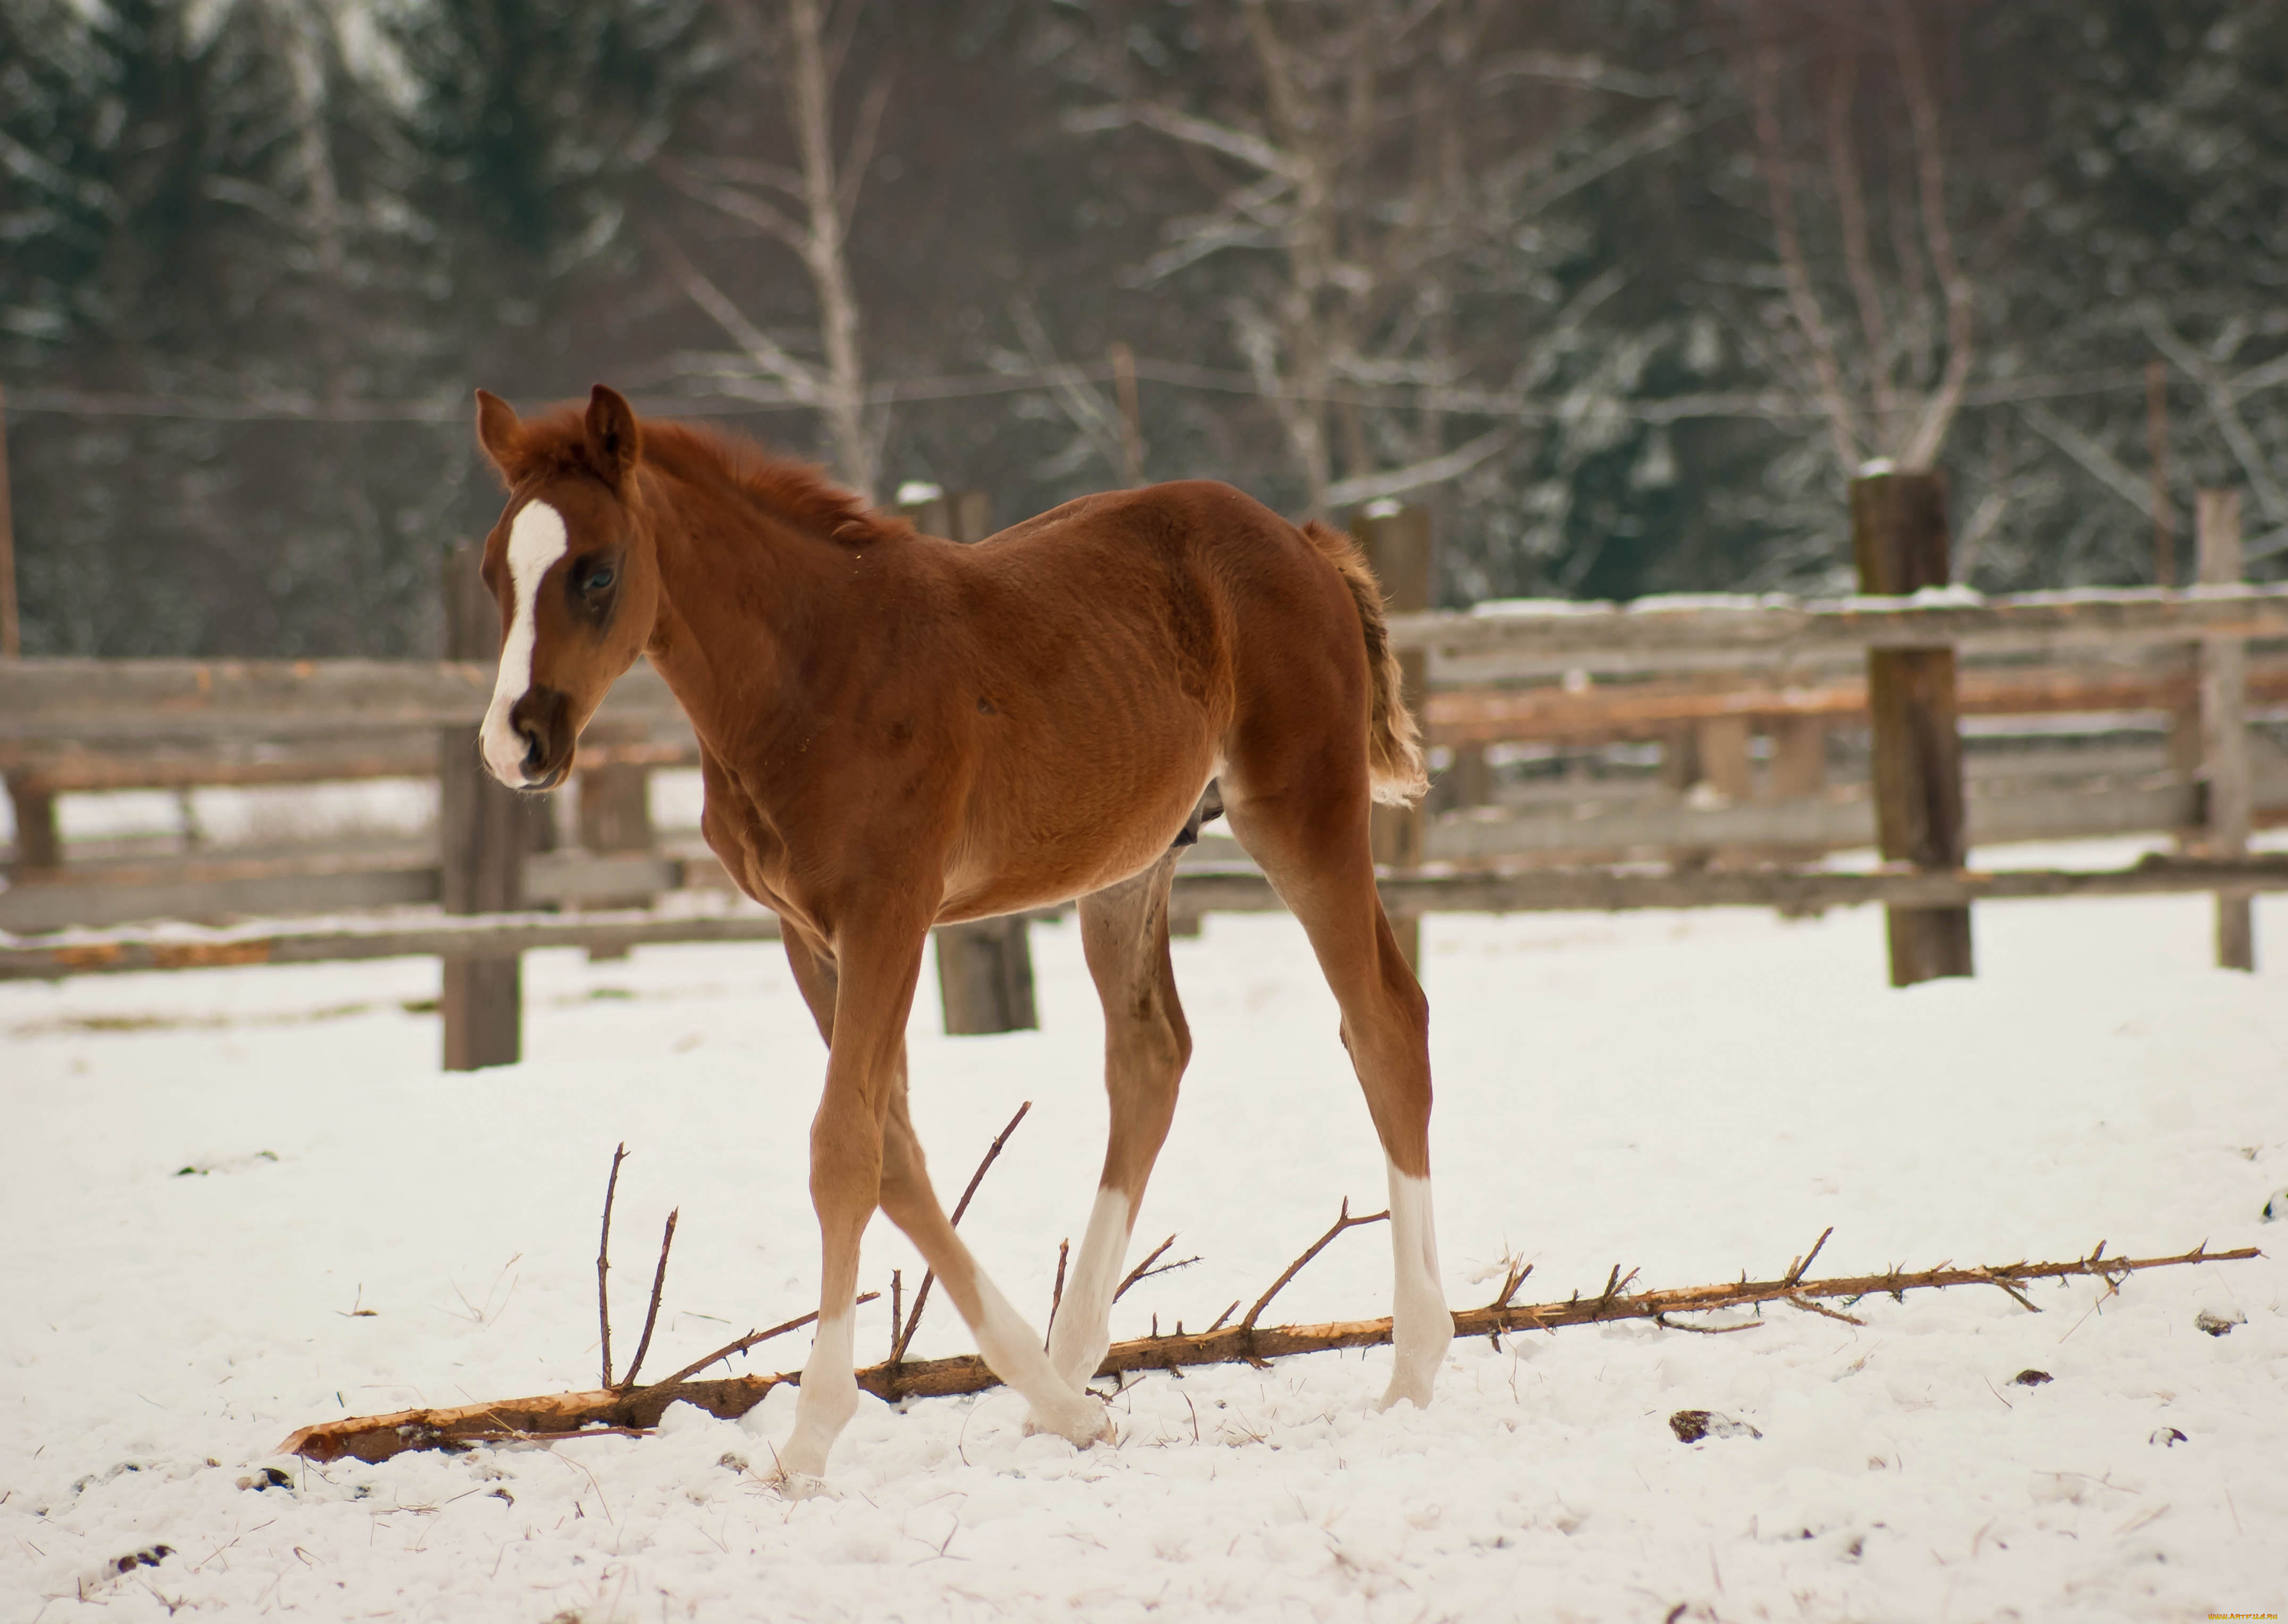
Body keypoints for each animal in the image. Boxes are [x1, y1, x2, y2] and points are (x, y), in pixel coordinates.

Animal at [474, 391, 1455, 1491]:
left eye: (597, 572)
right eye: (494, 574)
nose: (516, 743)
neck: (809, 676)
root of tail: (1305, 542)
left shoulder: (889, 914)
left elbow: (845, 1147)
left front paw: (805, 1445)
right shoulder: (808, 933)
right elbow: (895, 1150)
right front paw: (1066, 1411)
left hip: (1301, 811)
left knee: (1384, 1022)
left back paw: (1414, 1368)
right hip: (1128, 866)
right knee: (1151, 1056)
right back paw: (1074, 1367)